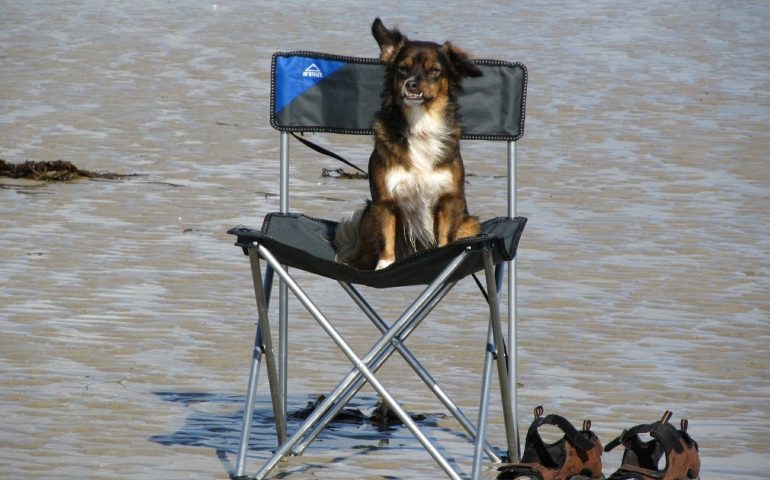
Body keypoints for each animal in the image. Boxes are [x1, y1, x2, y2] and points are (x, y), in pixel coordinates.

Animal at [334, 17, 480, 270]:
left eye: (434, 71)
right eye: (403, 68)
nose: (411, 84)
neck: (420, 125)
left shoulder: (450, 200)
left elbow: (445, 239)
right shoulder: (383, 201)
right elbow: (386, 241)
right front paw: (383, 267)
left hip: (470, 223)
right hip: (367, 219)